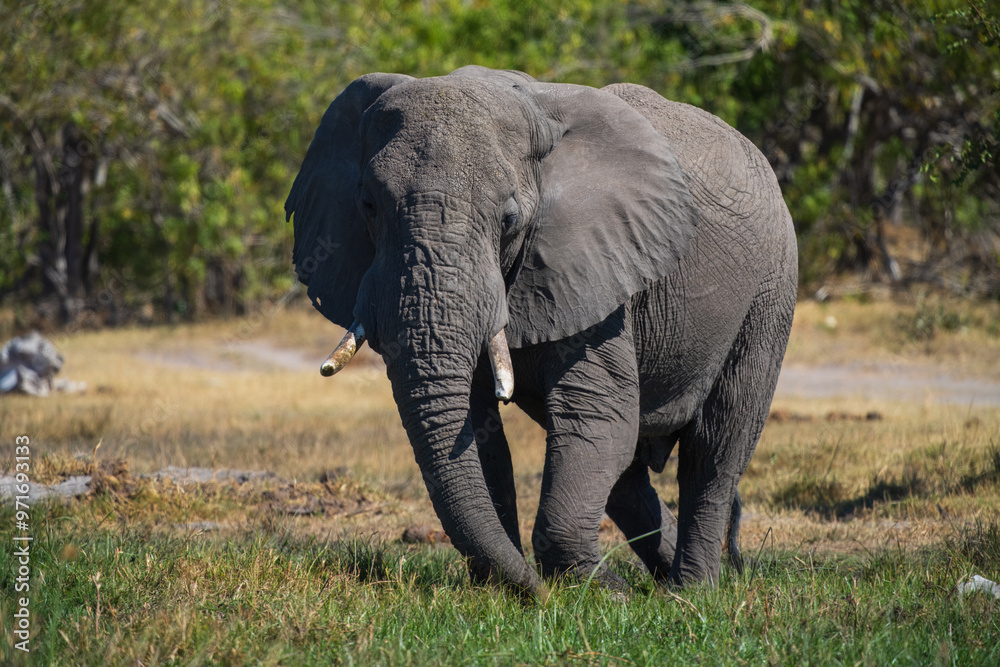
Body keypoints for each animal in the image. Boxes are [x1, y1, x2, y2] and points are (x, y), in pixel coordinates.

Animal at [284, 64, 796, 596]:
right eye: (368, 205)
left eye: (509, 219)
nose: (537, 592)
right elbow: (480, 425)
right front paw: (507, 587)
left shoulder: (597, 266)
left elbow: (597, 412)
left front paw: (599, 593)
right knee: (628, 475)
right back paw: (659, 581)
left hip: (771, 289)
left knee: (714, 449)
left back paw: (688, 591)